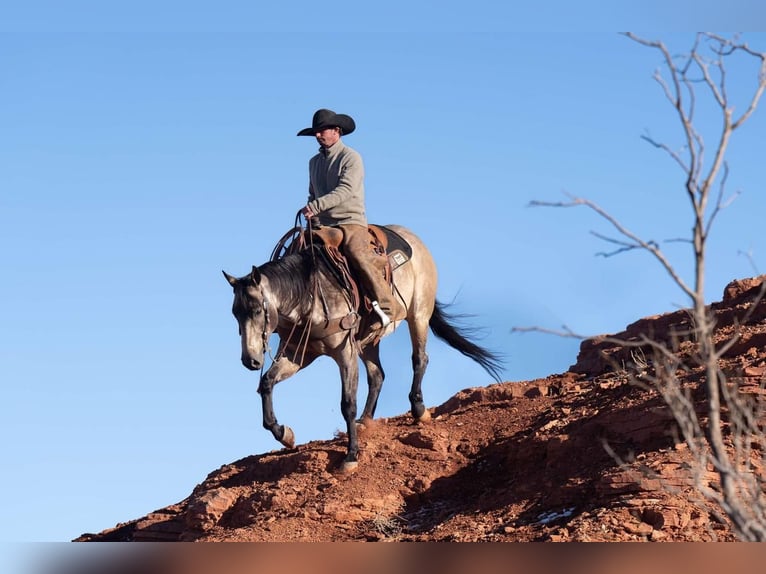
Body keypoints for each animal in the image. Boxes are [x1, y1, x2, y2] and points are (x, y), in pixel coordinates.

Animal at [224, 225, 504, 472]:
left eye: (257, 310)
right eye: (235, 313)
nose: (249, 360)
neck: (308, 294)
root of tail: (414, 240)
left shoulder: (344, 352)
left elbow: (347, 403)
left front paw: (350, 456)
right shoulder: (299, 355)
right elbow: (267, 383)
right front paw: (284, 433)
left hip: (419, 314)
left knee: (419, 359)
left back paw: (419, 409)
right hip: (370, 340)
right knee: (377, 374)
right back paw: (366, 421)